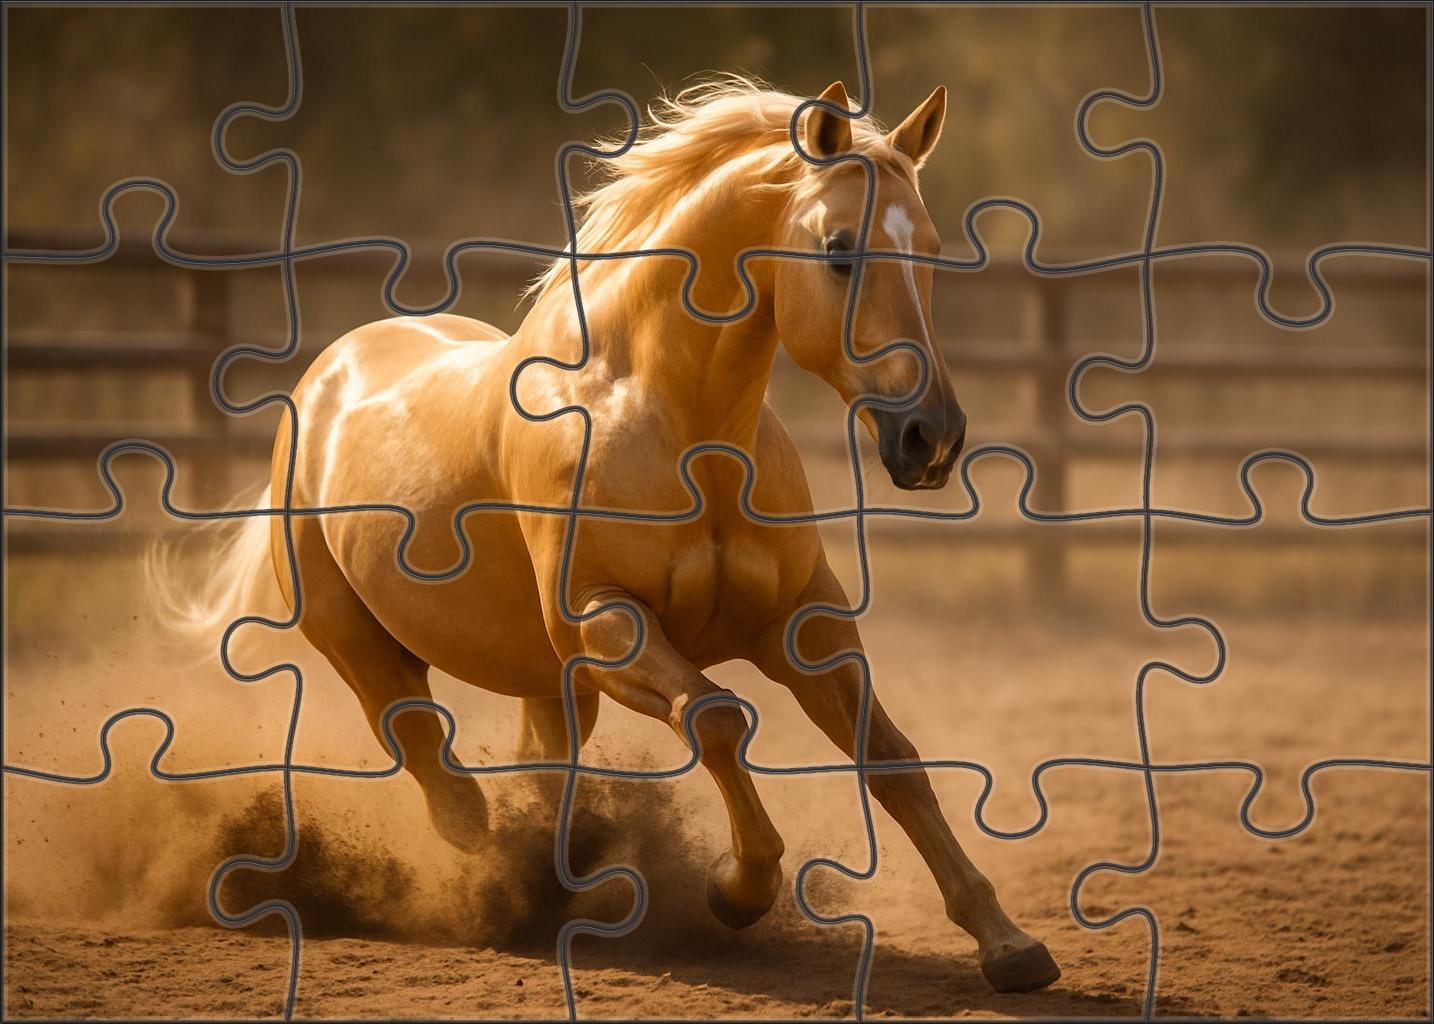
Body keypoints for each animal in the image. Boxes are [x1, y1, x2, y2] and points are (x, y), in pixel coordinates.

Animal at [185, 77, 1060, 994]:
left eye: (928, 249)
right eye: (839, 250)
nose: (933, 437)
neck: (681, 428)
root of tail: (321, 382)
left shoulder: (802, 626)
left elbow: (893, 758)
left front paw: (1006, 942)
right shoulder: (607, 625)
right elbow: (716, 718)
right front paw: (737, 890)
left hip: (552, 684)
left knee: (535, 774)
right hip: (371, 658)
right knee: (451, 794)